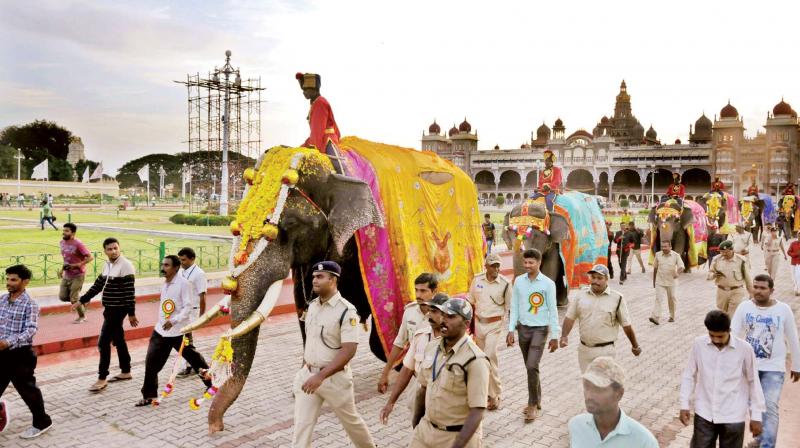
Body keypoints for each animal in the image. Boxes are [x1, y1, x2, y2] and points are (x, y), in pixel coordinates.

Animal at [182, 140, 484, 434]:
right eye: (235, 224)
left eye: (290, 224)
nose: (216, 426)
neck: (334, 170)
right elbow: (306, 314)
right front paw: (306, 383)